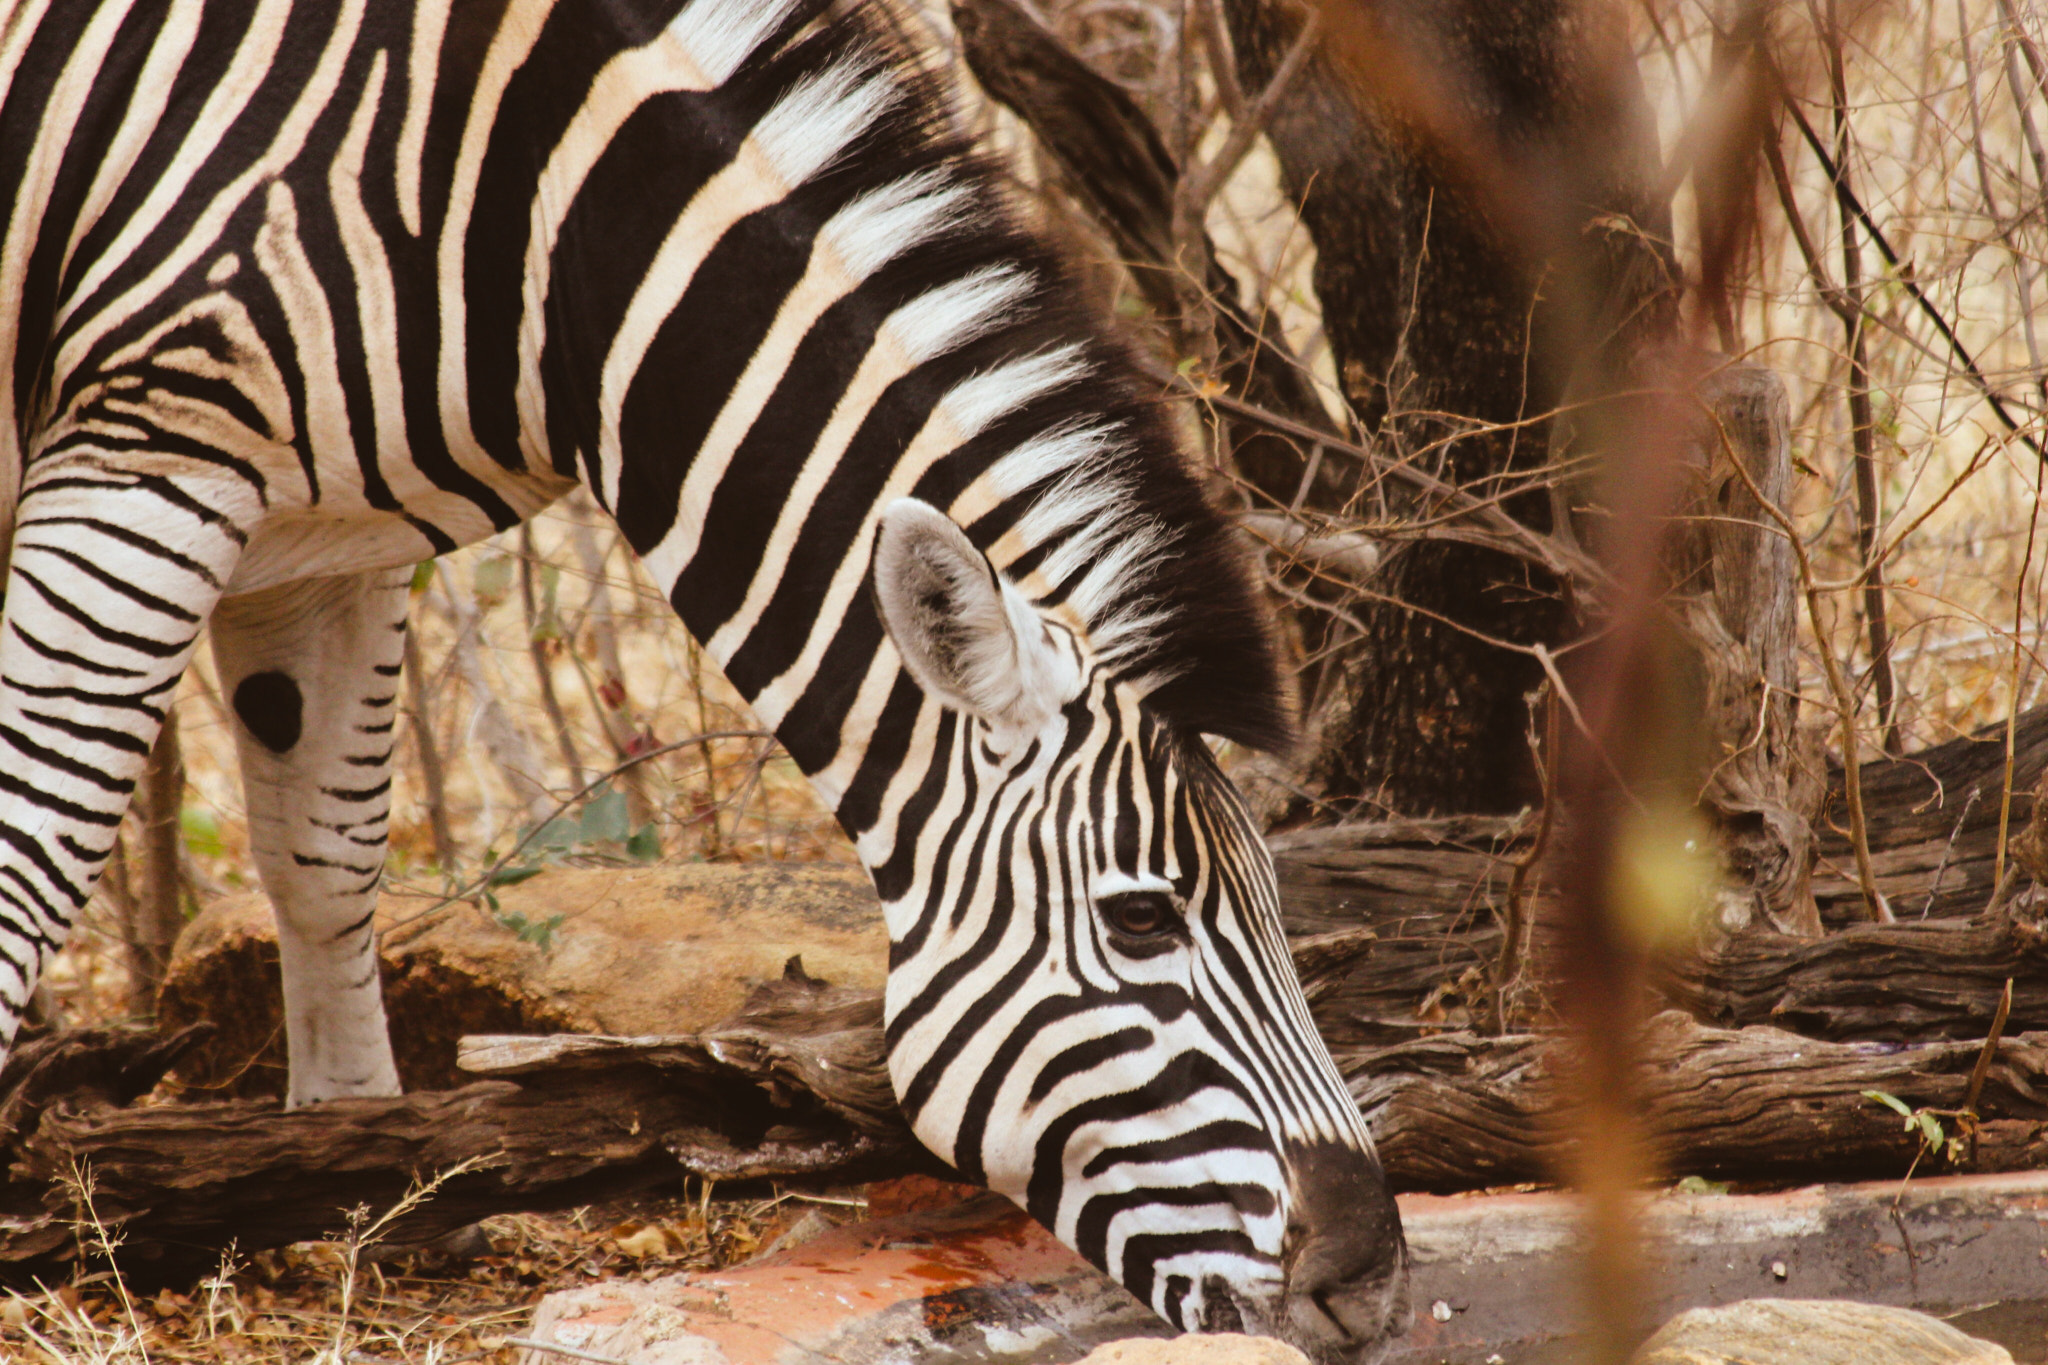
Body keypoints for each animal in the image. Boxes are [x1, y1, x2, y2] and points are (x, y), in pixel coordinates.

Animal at [0, 0, 1409, 1355]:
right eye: (1140, 921)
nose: (1369, 1288)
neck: (535, 221)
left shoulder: (334, 533)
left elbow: (326, 862)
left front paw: (352, 1192)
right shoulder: (148, 463)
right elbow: (34, 850)